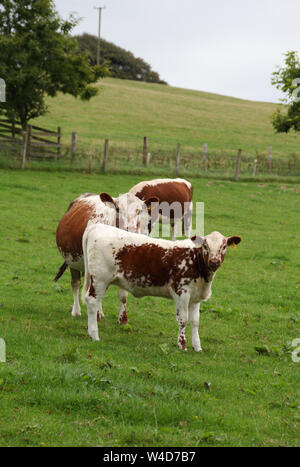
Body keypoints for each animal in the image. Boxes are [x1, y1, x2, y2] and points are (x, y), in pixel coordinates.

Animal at [56, 192, 159, 320]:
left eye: (139, 210)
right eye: (118, 209)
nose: (131, 229)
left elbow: (123, 294)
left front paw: (122, 318)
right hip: (72, 260)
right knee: (76, 283)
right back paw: (77, 311)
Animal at [80, 224, 241, 352]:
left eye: (224, 246)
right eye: (206, 246)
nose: (214, 261)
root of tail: (98, 226)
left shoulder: (195, 298)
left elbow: (195, 321)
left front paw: (197, 346)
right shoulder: (181, 292)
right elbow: (183, 319)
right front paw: (182, 345)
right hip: (100, 279)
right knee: (92, 302)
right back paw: (94, 334)